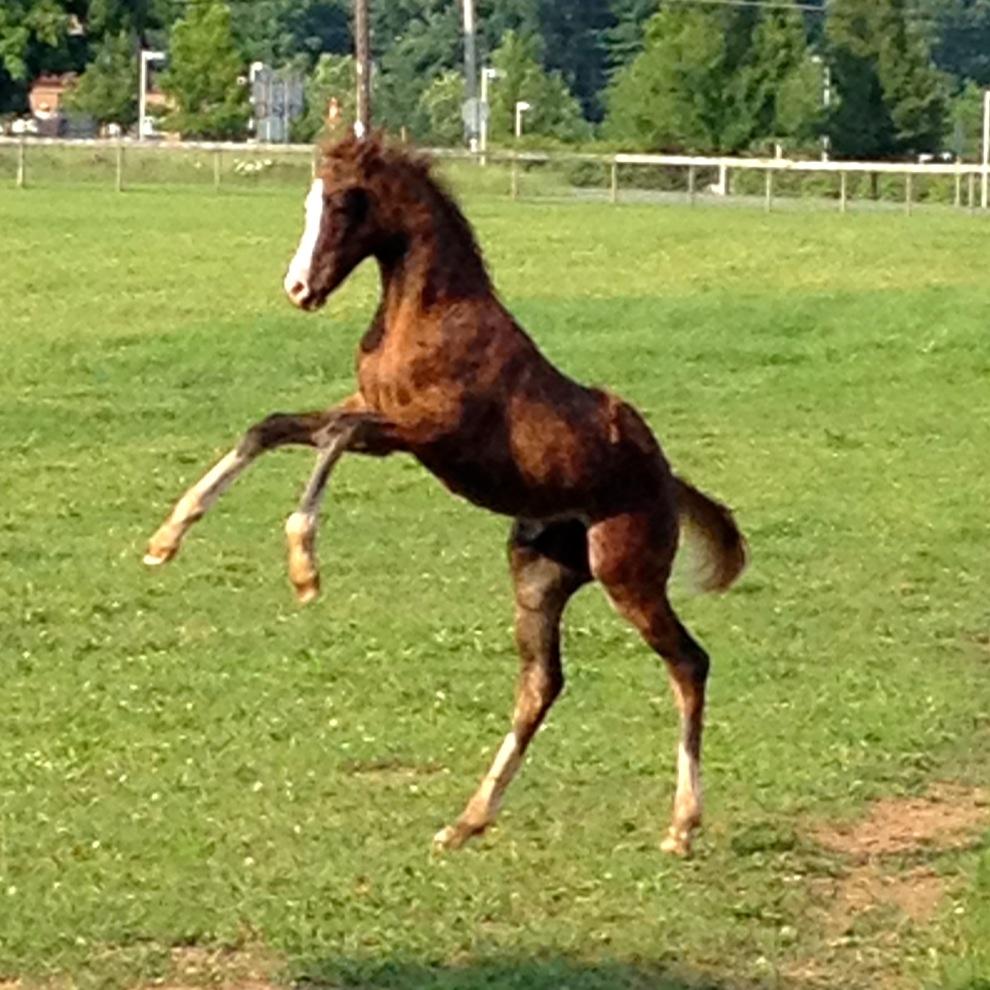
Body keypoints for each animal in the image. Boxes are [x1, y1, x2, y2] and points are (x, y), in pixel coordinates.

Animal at [144, 135, 747, 857]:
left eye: (344, 203)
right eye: (309, 201)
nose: (298, 289)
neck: (428, 316)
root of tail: (666, 477)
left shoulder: (425, 432)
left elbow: (332, 438)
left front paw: (303, 566)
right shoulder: (376, 416)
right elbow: (271, 427)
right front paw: (166, 538)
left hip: (627, 572)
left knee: (688, 663)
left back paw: (681, 826)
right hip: (538, 572)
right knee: (542, 683)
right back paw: (467, 819)